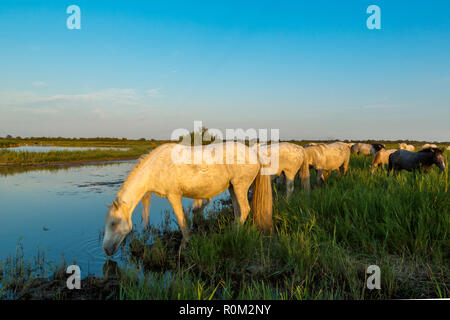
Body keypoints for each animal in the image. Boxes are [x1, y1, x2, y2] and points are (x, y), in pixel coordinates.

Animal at [102, 142, 272, 255]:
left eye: (114, 223)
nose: (106, 250)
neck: (157, 167)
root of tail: (254, 152)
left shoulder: (173, 196)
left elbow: (181, 219)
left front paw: (184, 246)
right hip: (233, 188)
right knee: (238, 211)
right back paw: (232, 233)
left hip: (239, 187)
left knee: (244, 210)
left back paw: (233, 236)